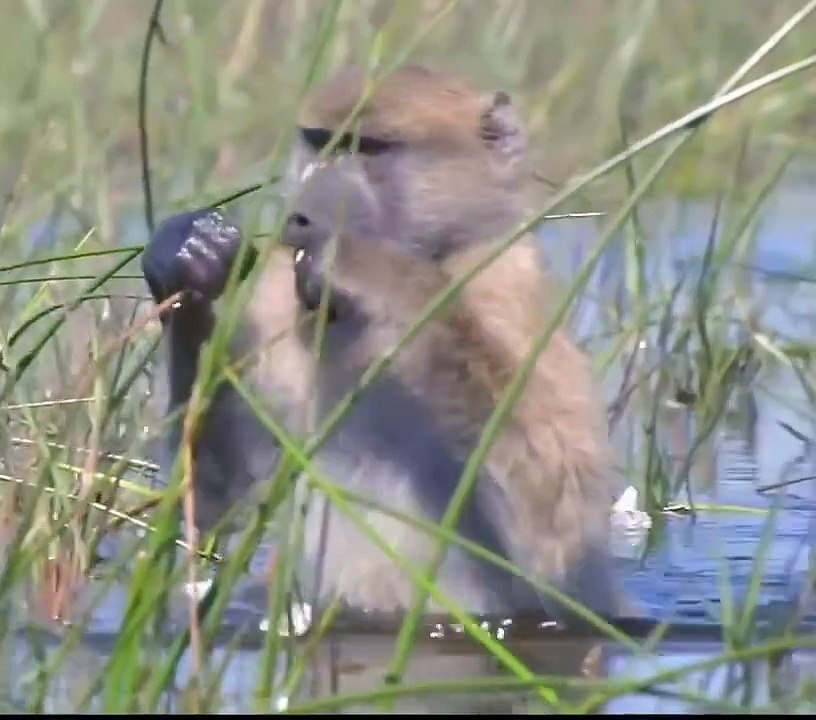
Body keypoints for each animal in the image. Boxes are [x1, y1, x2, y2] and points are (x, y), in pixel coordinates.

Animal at [141, 63, 627, 623]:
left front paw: (368, 269)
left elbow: (554, 531)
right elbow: (214, 504)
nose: (302, 215)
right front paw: (189, 256)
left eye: (368, 148)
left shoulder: (513, 295)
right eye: (321, 141)